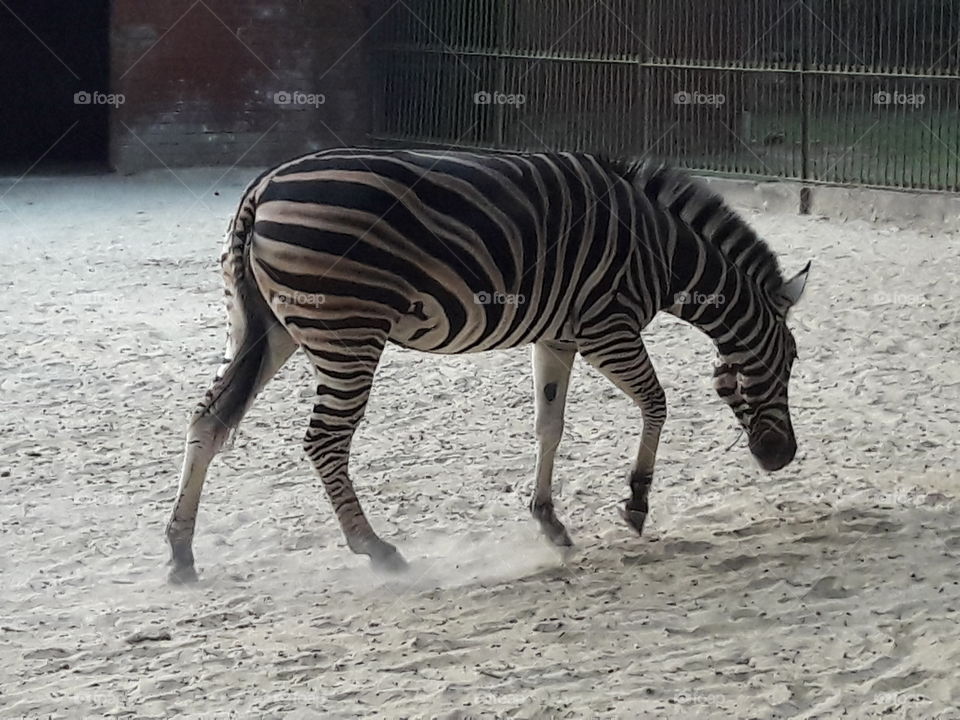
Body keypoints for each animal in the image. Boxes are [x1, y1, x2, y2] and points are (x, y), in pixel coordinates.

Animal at [165, 147, 809, 583]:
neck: (664, 250)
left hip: (265, 329)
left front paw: (549, 522)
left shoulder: (557, 337)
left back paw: (180, 552)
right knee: (323, 440)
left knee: (206, 419)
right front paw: (635, 505)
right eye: (790, 360)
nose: (783, 458)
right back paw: (375, 548)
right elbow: (657, 403)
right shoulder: (607, 329)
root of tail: (262, 187)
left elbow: (549, 426)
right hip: (347, 332)